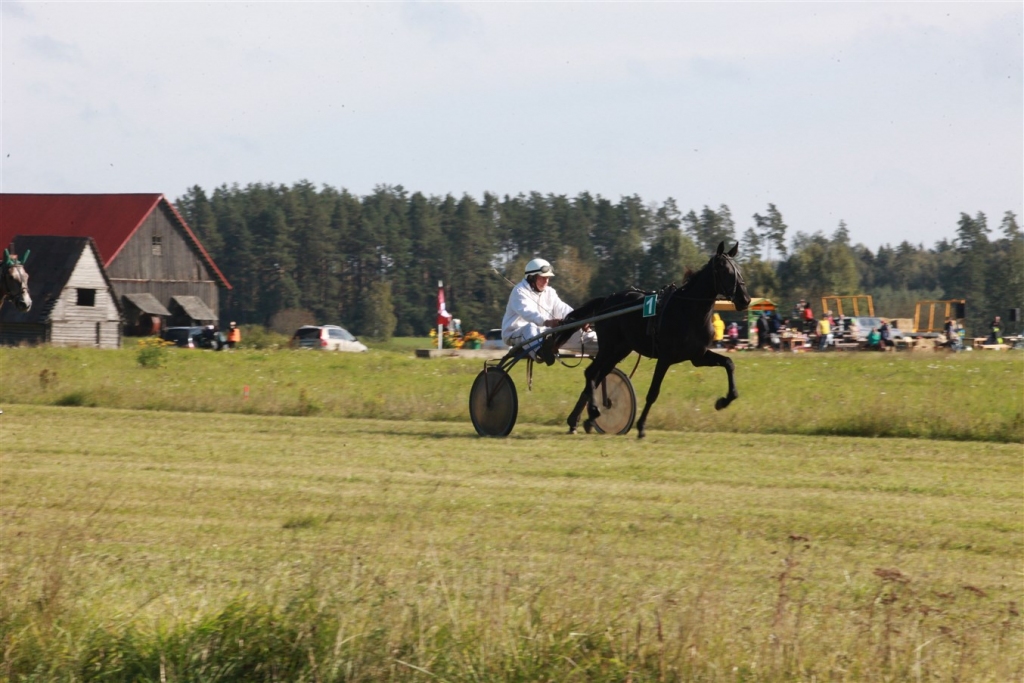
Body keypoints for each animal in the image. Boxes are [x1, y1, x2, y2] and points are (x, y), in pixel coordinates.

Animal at [557, 242, 749, 440]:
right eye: (724, 270)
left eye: (739, 269)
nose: (745, 300)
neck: (688, 311)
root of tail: (607, 300)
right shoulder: (665, 358)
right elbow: (653, 392)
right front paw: (641, 426)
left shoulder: (698, 356)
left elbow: (729, 363)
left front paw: (724, 401)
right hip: (608, 347)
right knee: (591, 373)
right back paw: (593, 411)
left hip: (618, 351)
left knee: (598, 376)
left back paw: (582, 419)